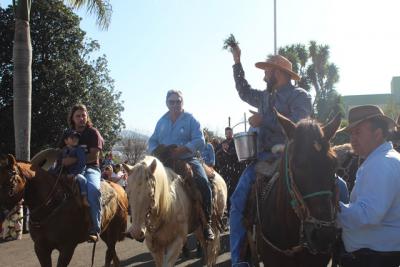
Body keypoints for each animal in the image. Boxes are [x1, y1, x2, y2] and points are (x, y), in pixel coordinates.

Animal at [0, 154, 128, 266]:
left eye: (10, 182)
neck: (51, 206)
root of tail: (119, 189)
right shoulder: (40, 248)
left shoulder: (67, 248)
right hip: (105, 232)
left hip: (112, 232)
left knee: (110, 253)